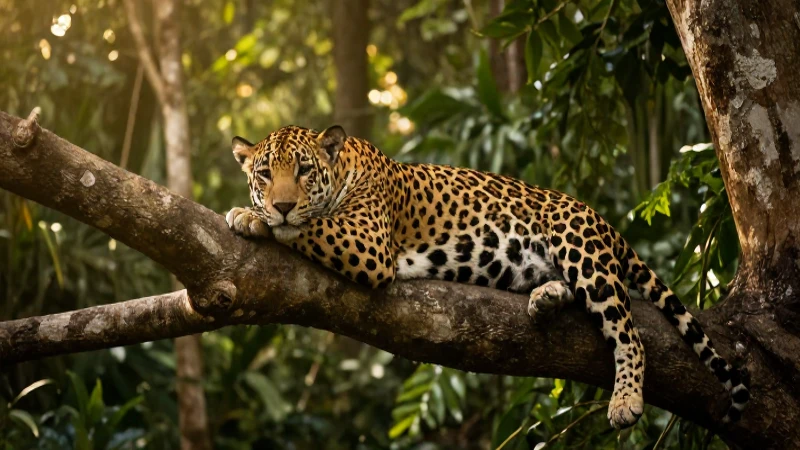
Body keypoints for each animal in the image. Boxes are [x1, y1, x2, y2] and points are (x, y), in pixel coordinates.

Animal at [225, 124, 749, 429]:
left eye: (304, 170)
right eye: (264, 174)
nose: (281, 202)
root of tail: (606, 223)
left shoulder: (367, 241)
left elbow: (309, 226)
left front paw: (253, 217)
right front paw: (255, 212)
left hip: (581, 249)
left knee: (628, 333)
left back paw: (624, 400)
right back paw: (546, 296)